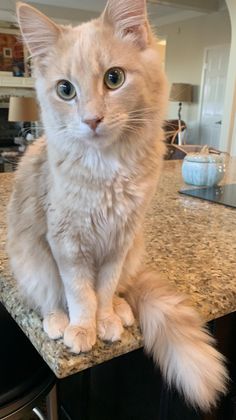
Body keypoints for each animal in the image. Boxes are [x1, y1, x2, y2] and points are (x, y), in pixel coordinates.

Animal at [7, 0, 229, 412]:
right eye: (65, 90)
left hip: (134, 253)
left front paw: (106, 318)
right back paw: (58, 321)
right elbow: (80, 293)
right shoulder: (67, 243)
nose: (92, 119)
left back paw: (123, 311)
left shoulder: (120, 240)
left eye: (114, 79)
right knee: (48, 297)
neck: (105, 170)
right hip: (32, 262)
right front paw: (83, 328)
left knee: (125, 288)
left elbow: (105, 289)